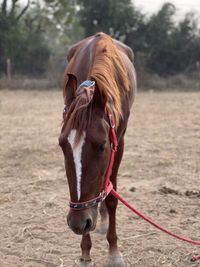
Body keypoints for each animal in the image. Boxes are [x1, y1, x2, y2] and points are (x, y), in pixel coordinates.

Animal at [58, 32, 137, 266]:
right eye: (62, 144)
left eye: (102, 146)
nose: (77, 222)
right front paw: (85, 250)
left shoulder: (118, 143)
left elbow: (111, 198)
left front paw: (114, 252)